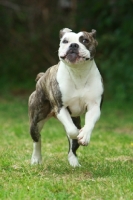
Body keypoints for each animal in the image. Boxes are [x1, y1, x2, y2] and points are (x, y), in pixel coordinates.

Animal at [28, 27, 104, 166]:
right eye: (65, 41)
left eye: (85, 40)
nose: (73, 45)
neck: (78, 73)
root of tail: (42, 77)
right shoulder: (60, 107)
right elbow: (72, 131)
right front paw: (77, 134)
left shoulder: (94, 106)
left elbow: (89, 124)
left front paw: (84, 135)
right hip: (36, 120)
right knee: (37, 140)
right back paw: (36, 159)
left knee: (72, 149)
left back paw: (74, 162)